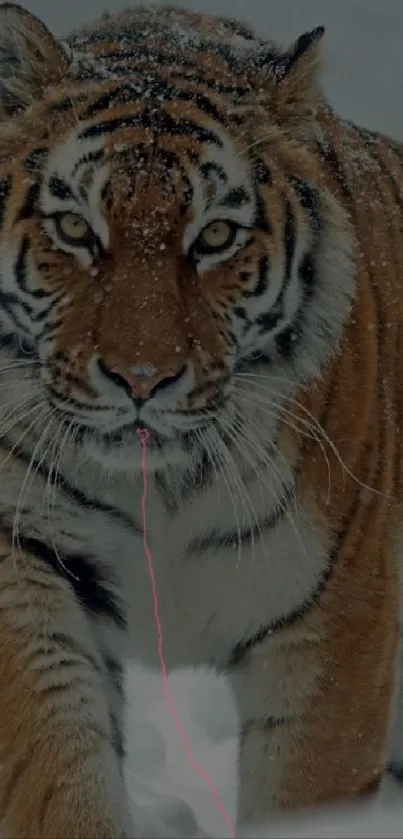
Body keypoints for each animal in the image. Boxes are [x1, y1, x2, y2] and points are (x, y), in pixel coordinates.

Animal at [0, 0, 403, 836]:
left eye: (214, 236)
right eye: (76, 229)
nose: (140, 378)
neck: (163, 486)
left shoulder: (337, 614)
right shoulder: (26, 557)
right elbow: (55, 771)